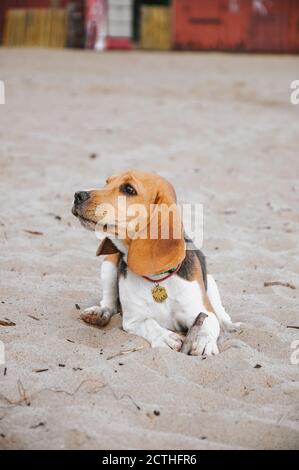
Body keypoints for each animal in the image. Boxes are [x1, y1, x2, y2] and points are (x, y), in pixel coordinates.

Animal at [72, 171, 234, 354]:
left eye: (129, 189)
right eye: (107, 182)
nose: (78, 195)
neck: (157, 278)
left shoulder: (203, 313)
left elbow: (207, 325)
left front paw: (204, 342)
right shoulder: (133, 320)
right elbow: (149, 323)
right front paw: (166, 337)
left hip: (211, 281)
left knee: (219, 309)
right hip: (108, 265)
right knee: (109, 302)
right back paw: (99, 313)